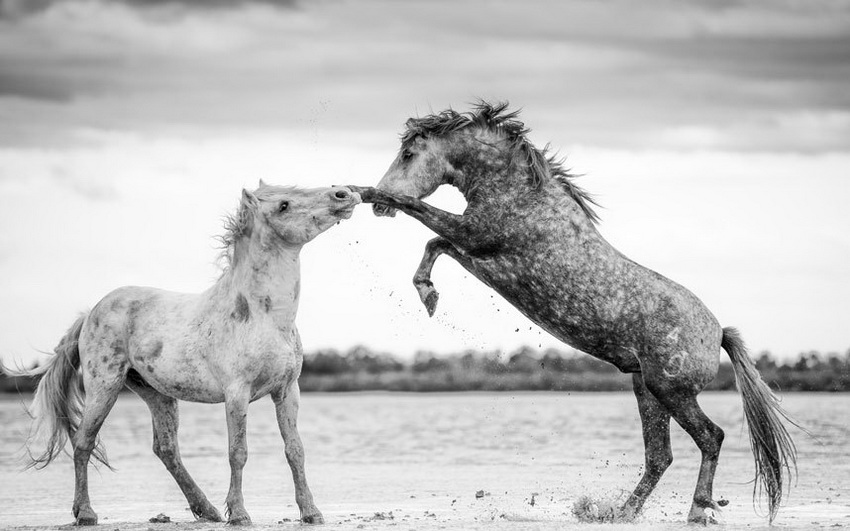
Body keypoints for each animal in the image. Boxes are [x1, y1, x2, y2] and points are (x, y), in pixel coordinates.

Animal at [14, 184, 358, 528]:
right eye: (283, 205)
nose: (344, 194)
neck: (264, 318)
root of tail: (90, 313)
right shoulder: (237, 393)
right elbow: (238, 451)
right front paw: (240, 514)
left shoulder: (288, 391)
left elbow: (295, 450)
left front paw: (311, 512)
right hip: (104, 387)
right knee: (84, 442)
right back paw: (86, 513)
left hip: (157, 394)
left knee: (166, 449)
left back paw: (207, 509)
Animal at [348, 102, 792, 524]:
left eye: (408, 154)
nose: (378, 208)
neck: (521, 194)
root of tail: (718, 332)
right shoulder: (476, 253)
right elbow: (434, 243)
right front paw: (428, 293)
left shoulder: (475, 236)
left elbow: (418, 212)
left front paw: (366, 194)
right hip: (647, 390)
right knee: (659, 456)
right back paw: (622, 512)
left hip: (672, 391)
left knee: (710, 437)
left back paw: (698, 509)